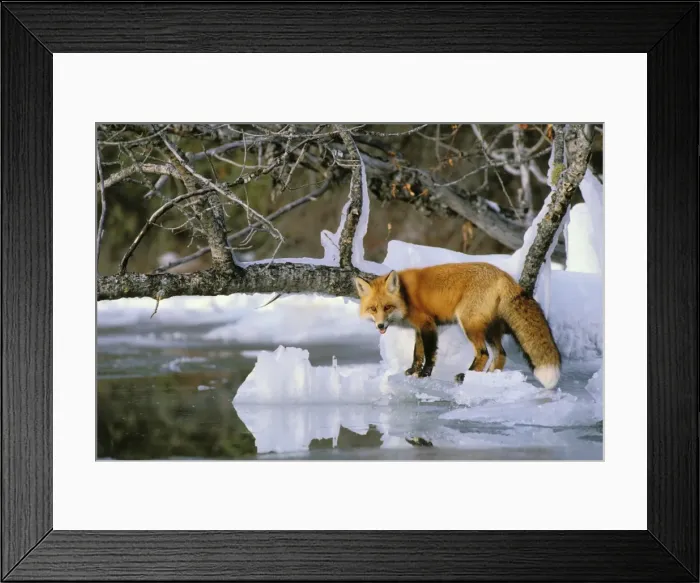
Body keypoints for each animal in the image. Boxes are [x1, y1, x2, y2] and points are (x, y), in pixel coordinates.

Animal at [354, 262, 562, 389]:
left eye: (387, 307)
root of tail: (503, 275)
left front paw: (424, 374)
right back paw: (487, 379)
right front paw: (412, 371)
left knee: (483, 354)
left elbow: (429, 354)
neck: (405, 296)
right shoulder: (419, 328)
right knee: (500, 355)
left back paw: (465, 376)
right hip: (489, 329)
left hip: (469, 324)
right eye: (373, 309)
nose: (380, 325)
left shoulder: (428, 324)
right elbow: (417, 353)